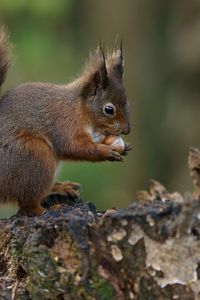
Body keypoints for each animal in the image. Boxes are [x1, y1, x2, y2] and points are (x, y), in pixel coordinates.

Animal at [0, 27, 131, 216]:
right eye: (109, 109)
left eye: (128, 103)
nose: (127, 130)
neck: (80, 109)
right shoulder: (65, 123)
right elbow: (74, 146)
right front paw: (105, 151)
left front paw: (125, 147)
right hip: (34, 155)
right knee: (27, 204)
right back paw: (48, 209)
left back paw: (58, 188)